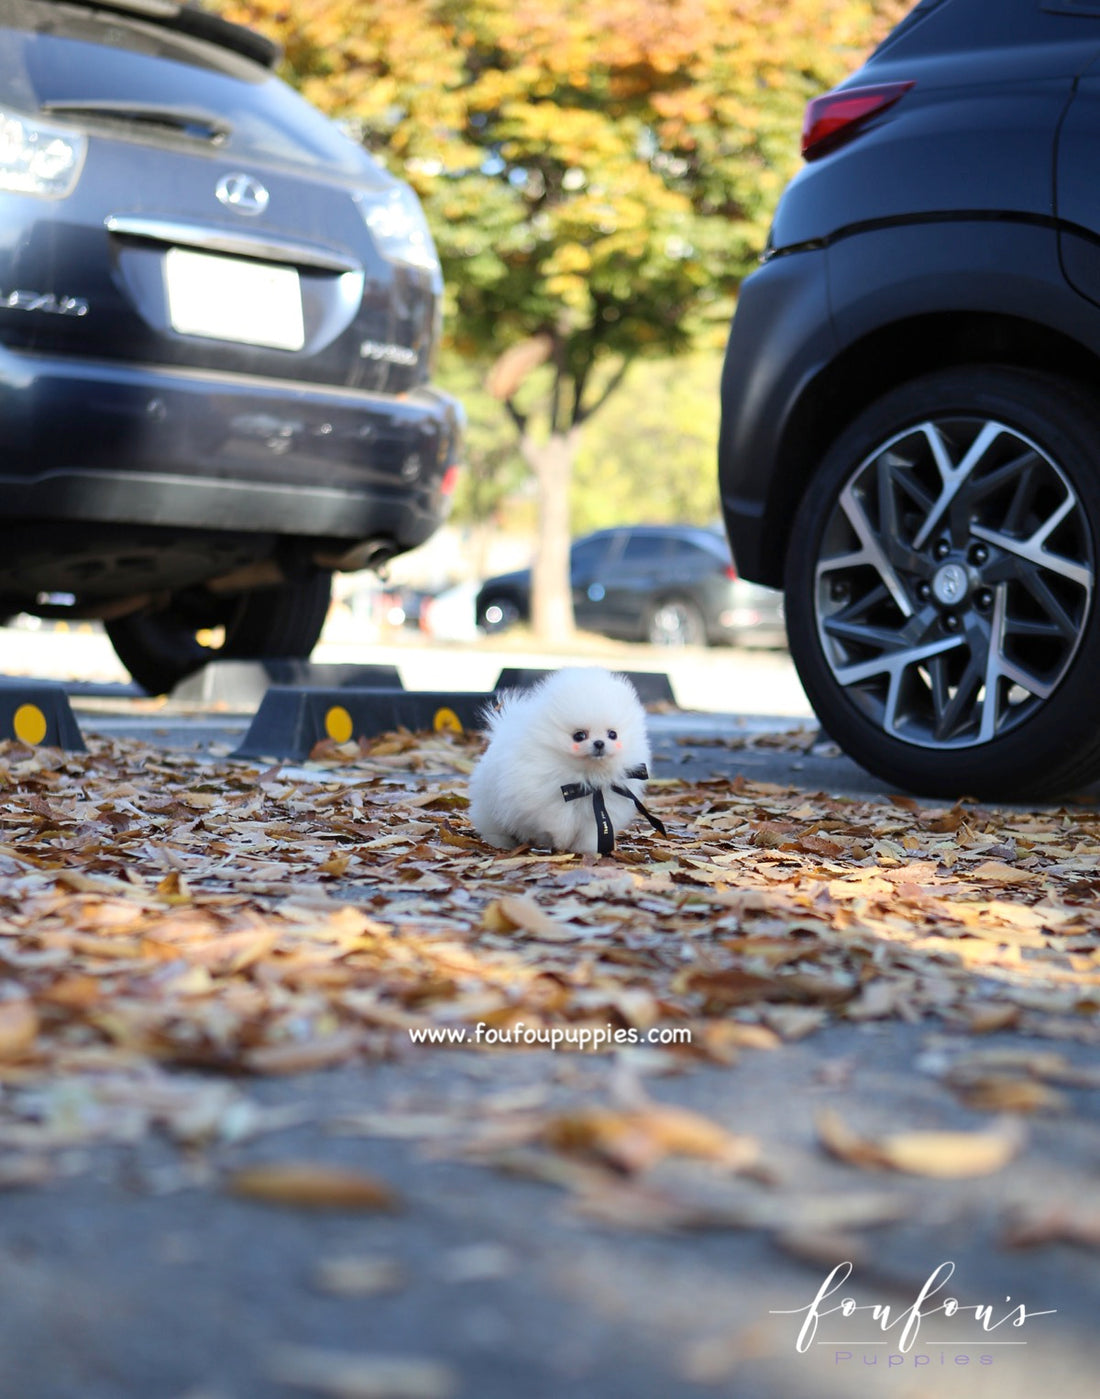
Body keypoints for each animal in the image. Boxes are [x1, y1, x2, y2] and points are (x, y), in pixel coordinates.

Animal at [467, 663, 663, 850]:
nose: (599, 743)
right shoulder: (545, 800)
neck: (586, 775)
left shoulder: (603, 805)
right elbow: (560, 822)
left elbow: (593, 830)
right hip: (489, 806)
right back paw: (502, 843)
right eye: (579, 735)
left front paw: (586, 849)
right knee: (494, 826)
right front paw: (562, 842)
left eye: (613, 734)